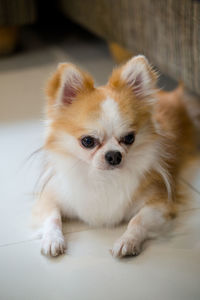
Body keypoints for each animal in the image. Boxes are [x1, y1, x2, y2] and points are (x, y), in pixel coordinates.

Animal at [32, 55, 196, 256]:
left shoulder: (159, 204)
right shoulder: (49, 198)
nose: (114, 155)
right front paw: (52, 239)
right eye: (88, 141)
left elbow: (137, 220)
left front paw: (128, 241)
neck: (103, 177)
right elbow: (53, 217)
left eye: (129, 138)